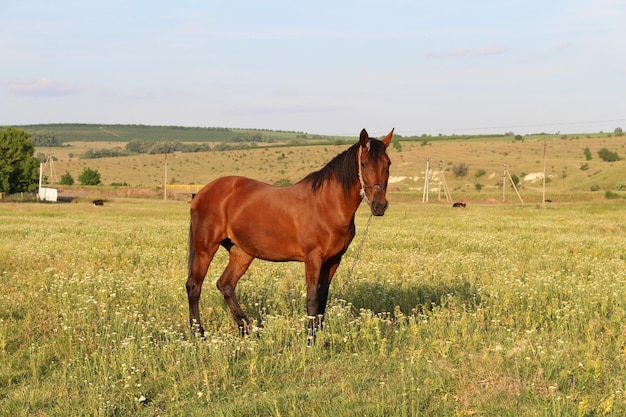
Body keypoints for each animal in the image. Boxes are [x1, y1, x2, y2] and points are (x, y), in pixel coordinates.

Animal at [185, 127, 392, 334]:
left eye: (388, 163)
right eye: (364, 164)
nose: (379, 205)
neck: (326, 205)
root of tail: (201, 193)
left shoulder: (333, 260)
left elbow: (322, 301)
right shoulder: (313, 259)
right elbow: (313, 301)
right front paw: (310, 338)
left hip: (241, 252)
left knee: (226, 285)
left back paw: (246, 328)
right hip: (205, 247)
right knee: (194, 286)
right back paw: (199, 332)